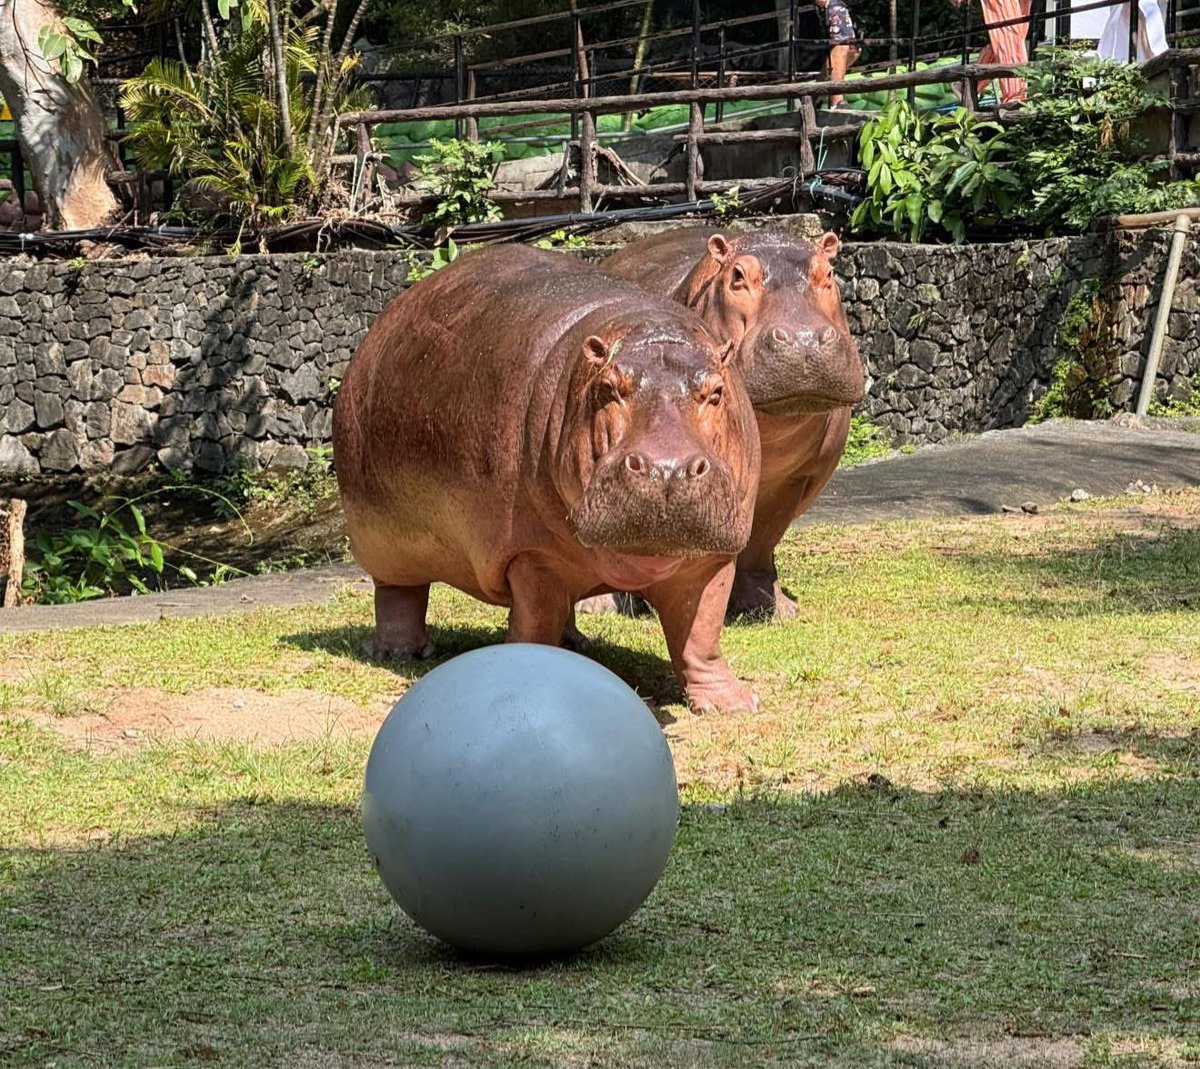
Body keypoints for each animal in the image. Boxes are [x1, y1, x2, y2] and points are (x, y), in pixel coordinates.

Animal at [333, 244, 762, 714]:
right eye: (609, 388)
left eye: (716, 391)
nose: (666, 468)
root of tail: (386, 319)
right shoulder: (533, 555)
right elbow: (535, 621)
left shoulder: (713, 557)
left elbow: (701, 633)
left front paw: (734, 703)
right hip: (384, 543)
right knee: (399, 595)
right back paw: (401, 652)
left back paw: (576, 645)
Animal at [598, 227, 866, 618]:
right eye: (737, 276)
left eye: (829, 273)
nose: (804, 339)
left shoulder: (791, 480)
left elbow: (763, 538)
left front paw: (772, 608)